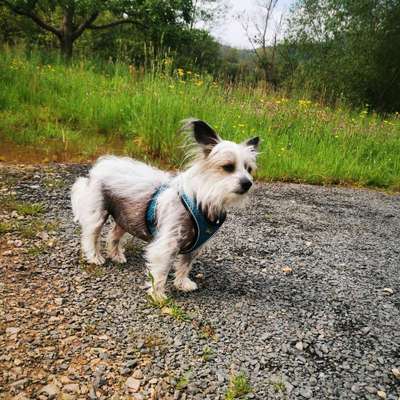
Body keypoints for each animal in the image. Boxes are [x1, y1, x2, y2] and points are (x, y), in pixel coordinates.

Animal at [71, 119, 260, 300]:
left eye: (249, 169)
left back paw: (116, 255)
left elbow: (185, 265)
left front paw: (182, 283)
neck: (201, 200)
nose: (248, 183)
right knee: (90, 236)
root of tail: (100, 165)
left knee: (113, 236)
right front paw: (158, 295)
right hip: (98, 214)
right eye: (228, 167)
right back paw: (95, 257)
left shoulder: (194, 247)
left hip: (127, 217)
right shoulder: (167, 244)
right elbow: (161, 271)